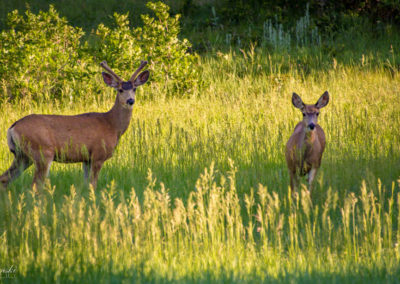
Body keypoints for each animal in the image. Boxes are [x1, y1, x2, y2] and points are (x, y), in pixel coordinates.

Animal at [0, 60, 150, 190]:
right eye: (120, 90)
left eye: (135, 89)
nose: (130, 100)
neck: (112, 125)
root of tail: (12, 128)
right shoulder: (98, 154)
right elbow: (93, 184)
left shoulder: (86, 159)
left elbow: (87, 184)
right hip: (42, 151)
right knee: (35, 185)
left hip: (22, 156)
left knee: (4, 179)